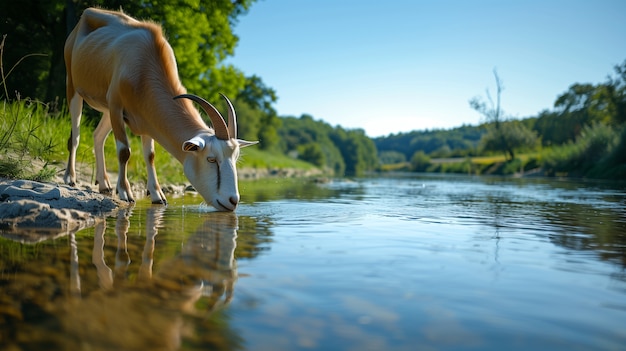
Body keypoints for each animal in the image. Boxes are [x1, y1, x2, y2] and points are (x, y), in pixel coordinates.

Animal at [63, 8, 256, 210]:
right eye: (211, 159)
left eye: (235, 158)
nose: (232, 201)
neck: (144, 63)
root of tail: (87, 14)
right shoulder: (116, 106)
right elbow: (124, 151)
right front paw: (125, 193)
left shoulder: (146, 119)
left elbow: (150, 155)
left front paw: (157, 196)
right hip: (74, 88)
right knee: (75, 136)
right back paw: (71, 179)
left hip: (107, 112)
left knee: (97, 136)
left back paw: (104, 185)